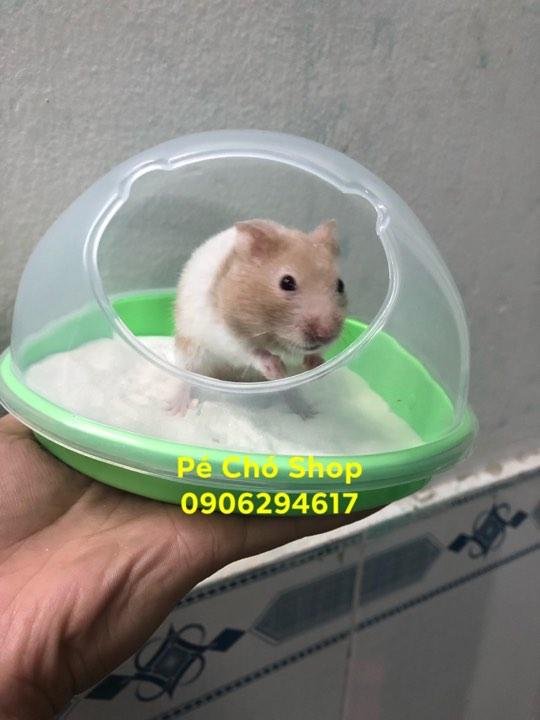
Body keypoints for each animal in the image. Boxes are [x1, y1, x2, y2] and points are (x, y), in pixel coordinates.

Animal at [171, 219, 347, 413]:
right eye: (287, 282)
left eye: (340, 284)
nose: (326, 335)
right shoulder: (222, 333)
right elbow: (250, 351)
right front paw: (276, 368)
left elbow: (313, 355)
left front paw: (318, 367)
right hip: (189, 351)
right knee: (185, 378)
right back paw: (177, 410)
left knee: (289, 392)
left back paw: (306, 412)